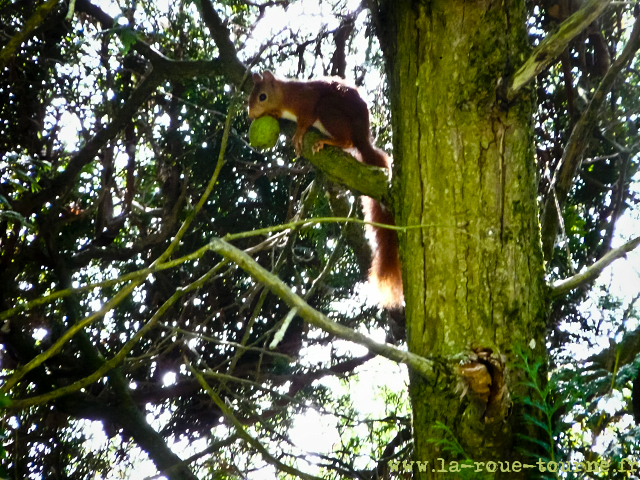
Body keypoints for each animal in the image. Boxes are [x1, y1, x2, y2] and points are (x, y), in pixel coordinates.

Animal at [249, 71, 402, 312]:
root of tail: (362, 137)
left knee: (346, 140)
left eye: (262, 96)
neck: (286, 94)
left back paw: (328, 141)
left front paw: (298, 134)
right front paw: (273, 113)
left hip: (328, 110)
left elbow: (304, 121)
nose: (249, 115)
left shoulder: (306, 103)